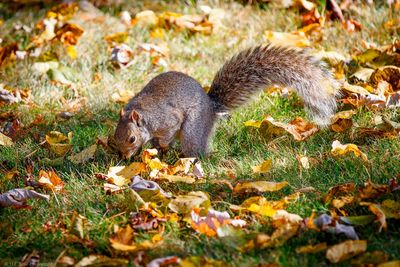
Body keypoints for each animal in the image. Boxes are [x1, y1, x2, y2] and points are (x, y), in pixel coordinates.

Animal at [112, 44, 338, 158]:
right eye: (114, 136)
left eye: (131, 138)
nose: (124, 157)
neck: (144, 113)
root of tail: (211, 107)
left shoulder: (167, 120)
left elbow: (167, 134)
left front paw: (162, 146)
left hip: (193, 129)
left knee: (195, 148)